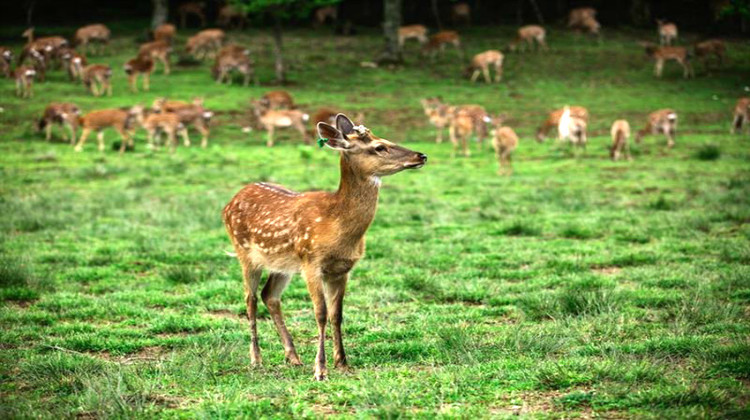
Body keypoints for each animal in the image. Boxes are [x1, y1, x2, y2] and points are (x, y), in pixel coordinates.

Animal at [222, 113, 427, 381]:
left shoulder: (342, 269)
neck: (336, 225)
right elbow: (319, 313)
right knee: (250, 299)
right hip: (245, 252)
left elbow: (336, 315)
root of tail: (230, 202)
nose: (421, 155)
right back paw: (257, 359)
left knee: (270, 296)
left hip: (283, 262)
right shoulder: (312, 262)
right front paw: (320, 369)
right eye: (379, 147)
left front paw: (343, 363)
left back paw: (293, 356)